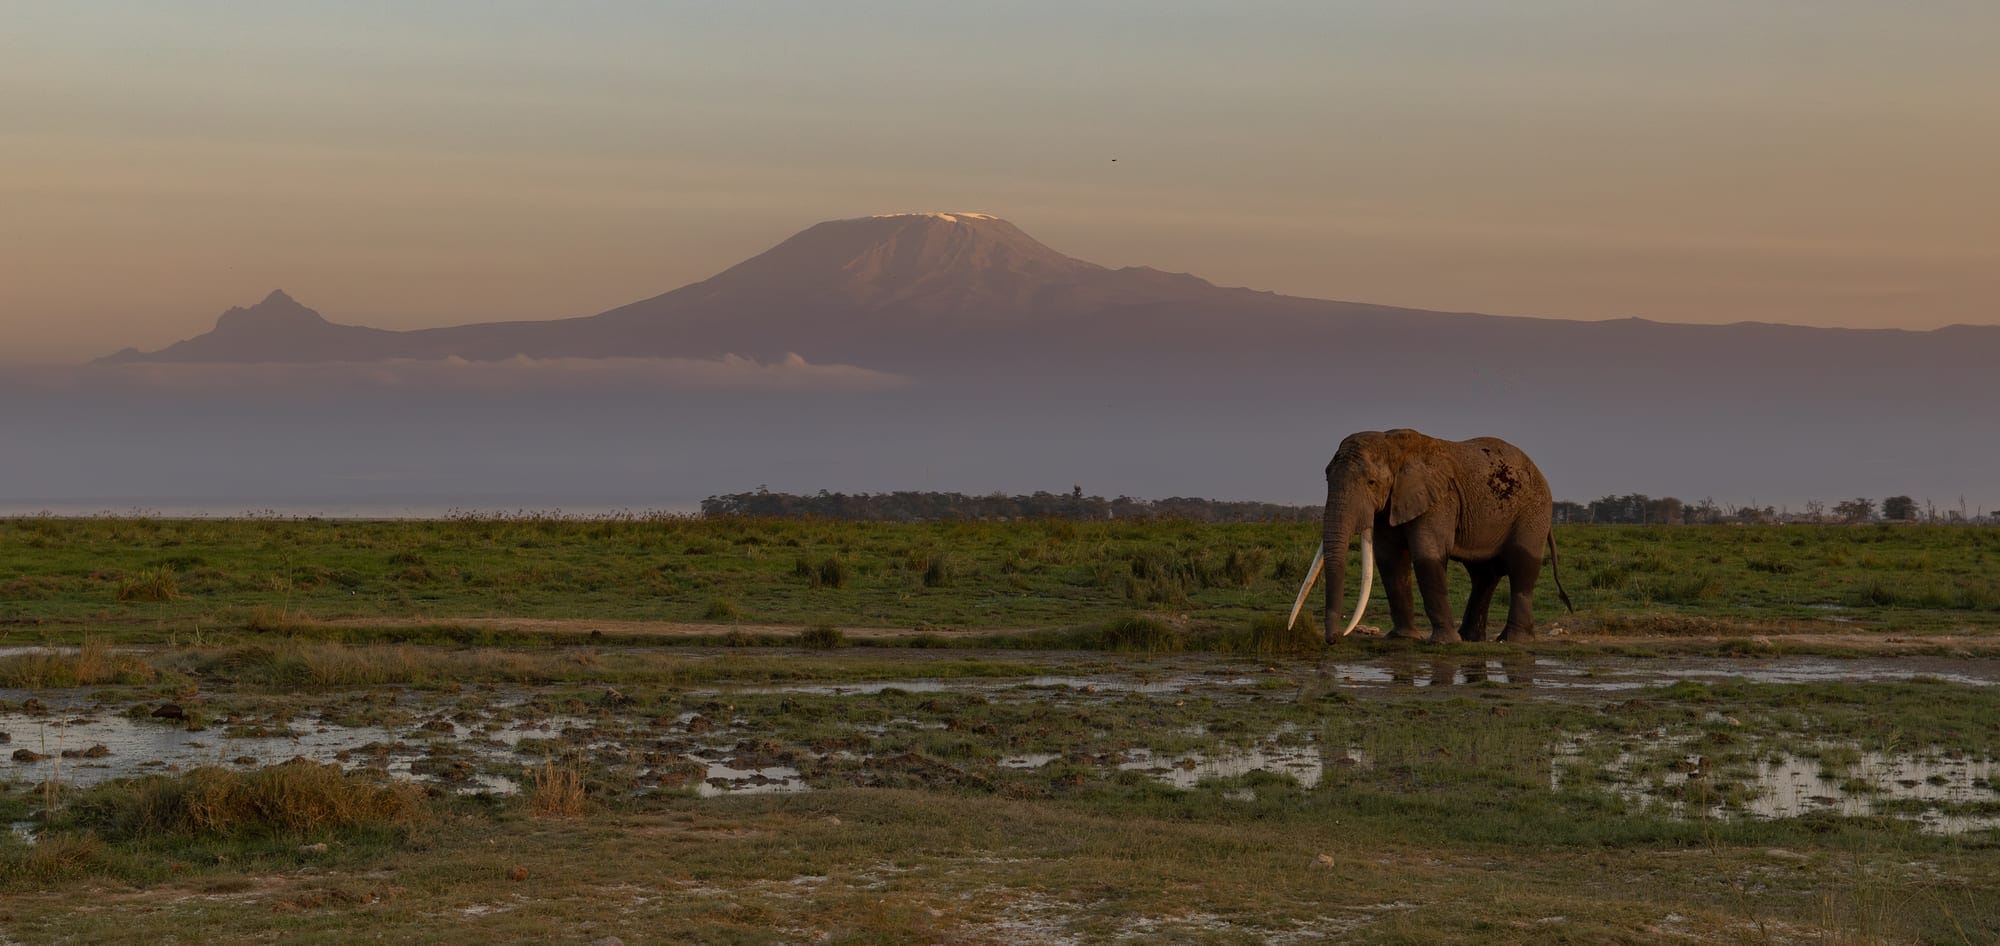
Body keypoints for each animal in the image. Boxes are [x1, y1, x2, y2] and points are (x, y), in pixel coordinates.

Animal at [1285, 429, 1572, 644]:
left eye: (1371, 483)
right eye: (1326, 478)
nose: (1333, 639)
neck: (1394, 446)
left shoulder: (1438, 500)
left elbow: (1427, 555)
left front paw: (1443, 643)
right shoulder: (1394, 502)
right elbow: (1390, 560)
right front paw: (1402, 638)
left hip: (1533, 511)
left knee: (1522, 568)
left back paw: (1512, 640)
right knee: (1483, 574)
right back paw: (1470, 638)